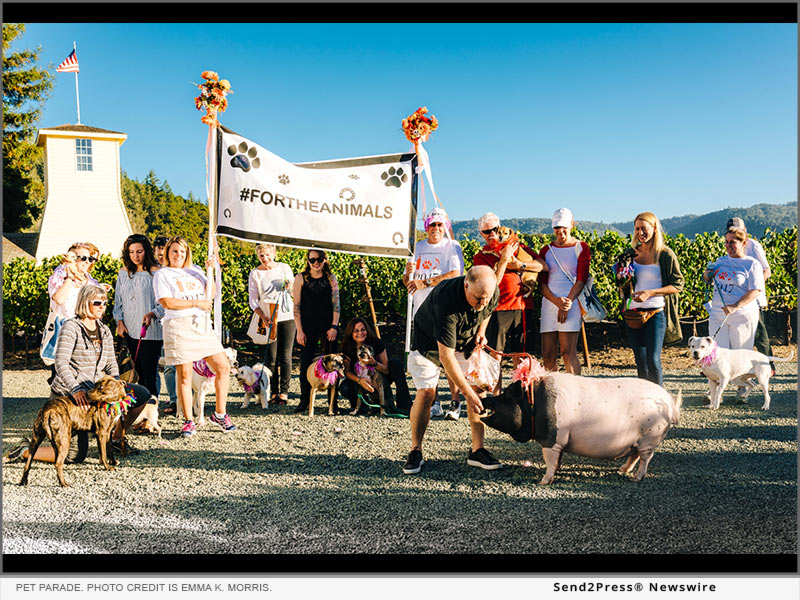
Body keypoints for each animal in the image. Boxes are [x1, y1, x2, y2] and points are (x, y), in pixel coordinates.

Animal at [478, 376, 684, 482]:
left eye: (506, 395)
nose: (484, 399)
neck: (533, 405)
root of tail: (670, 403)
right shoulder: (559, 443)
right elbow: (557, 460)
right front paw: (557, 471)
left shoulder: (551, 440)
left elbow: (549, 461)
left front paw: (543, 481)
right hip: (637, 440)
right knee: (634, 456)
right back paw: (622, 470)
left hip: (649, 437)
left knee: (645, 459)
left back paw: (635, 478)